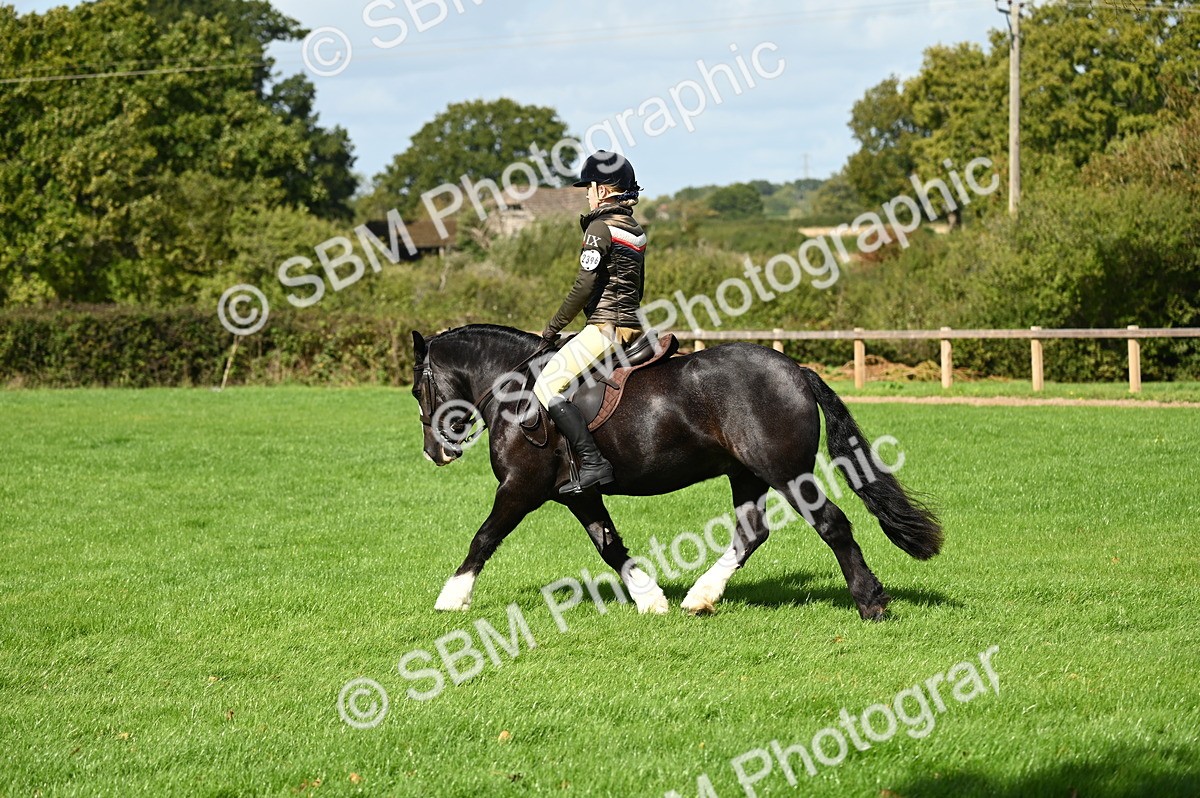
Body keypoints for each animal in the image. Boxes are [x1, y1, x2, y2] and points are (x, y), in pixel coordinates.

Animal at [411, 324, 942, 619]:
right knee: (751, 532)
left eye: (418, 390)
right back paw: (700, 597)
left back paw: (870, 602)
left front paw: (451, 598)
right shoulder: (577, 493)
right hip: (746, 474)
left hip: (785, 472)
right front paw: (651, 600)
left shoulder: (521, 486)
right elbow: (609, 545)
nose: (434, 454)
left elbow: (483, 537)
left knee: (832, 524)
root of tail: (795, 370)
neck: (514, 389)